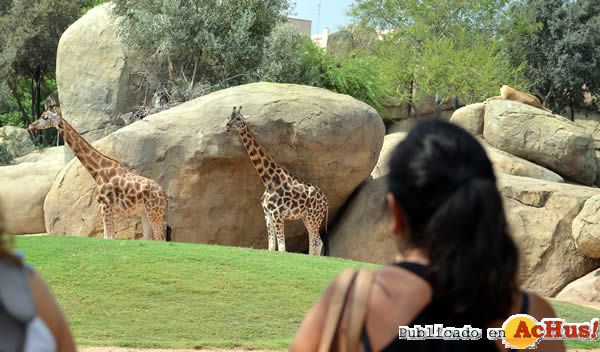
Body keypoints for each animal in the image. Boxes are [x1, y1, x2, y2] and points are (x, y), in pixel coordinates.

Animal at [29, 109, 171, 242]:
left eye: (45, 117)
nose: (31, 126)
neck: (98, 171)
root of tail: (164, 194)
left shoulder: (105, 205)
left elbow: (107, 237)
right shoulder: (109, 208)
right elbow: (111, 236)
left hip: (154, 212)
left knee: (161, 237)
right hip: (144, 213)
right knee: (150, 238)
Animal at [225, 105, 328, 256]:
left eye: (238, 118)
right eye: (229, 117)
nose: (227, 126)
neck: (268, 180)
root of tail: (326, 202)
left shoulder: (277, 213)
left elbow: (282, 248)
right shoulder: (267, 213)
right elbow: (272, 246)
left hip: (313, 216)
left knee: (316, 242)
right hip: (307, 217)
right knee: (317, 241)